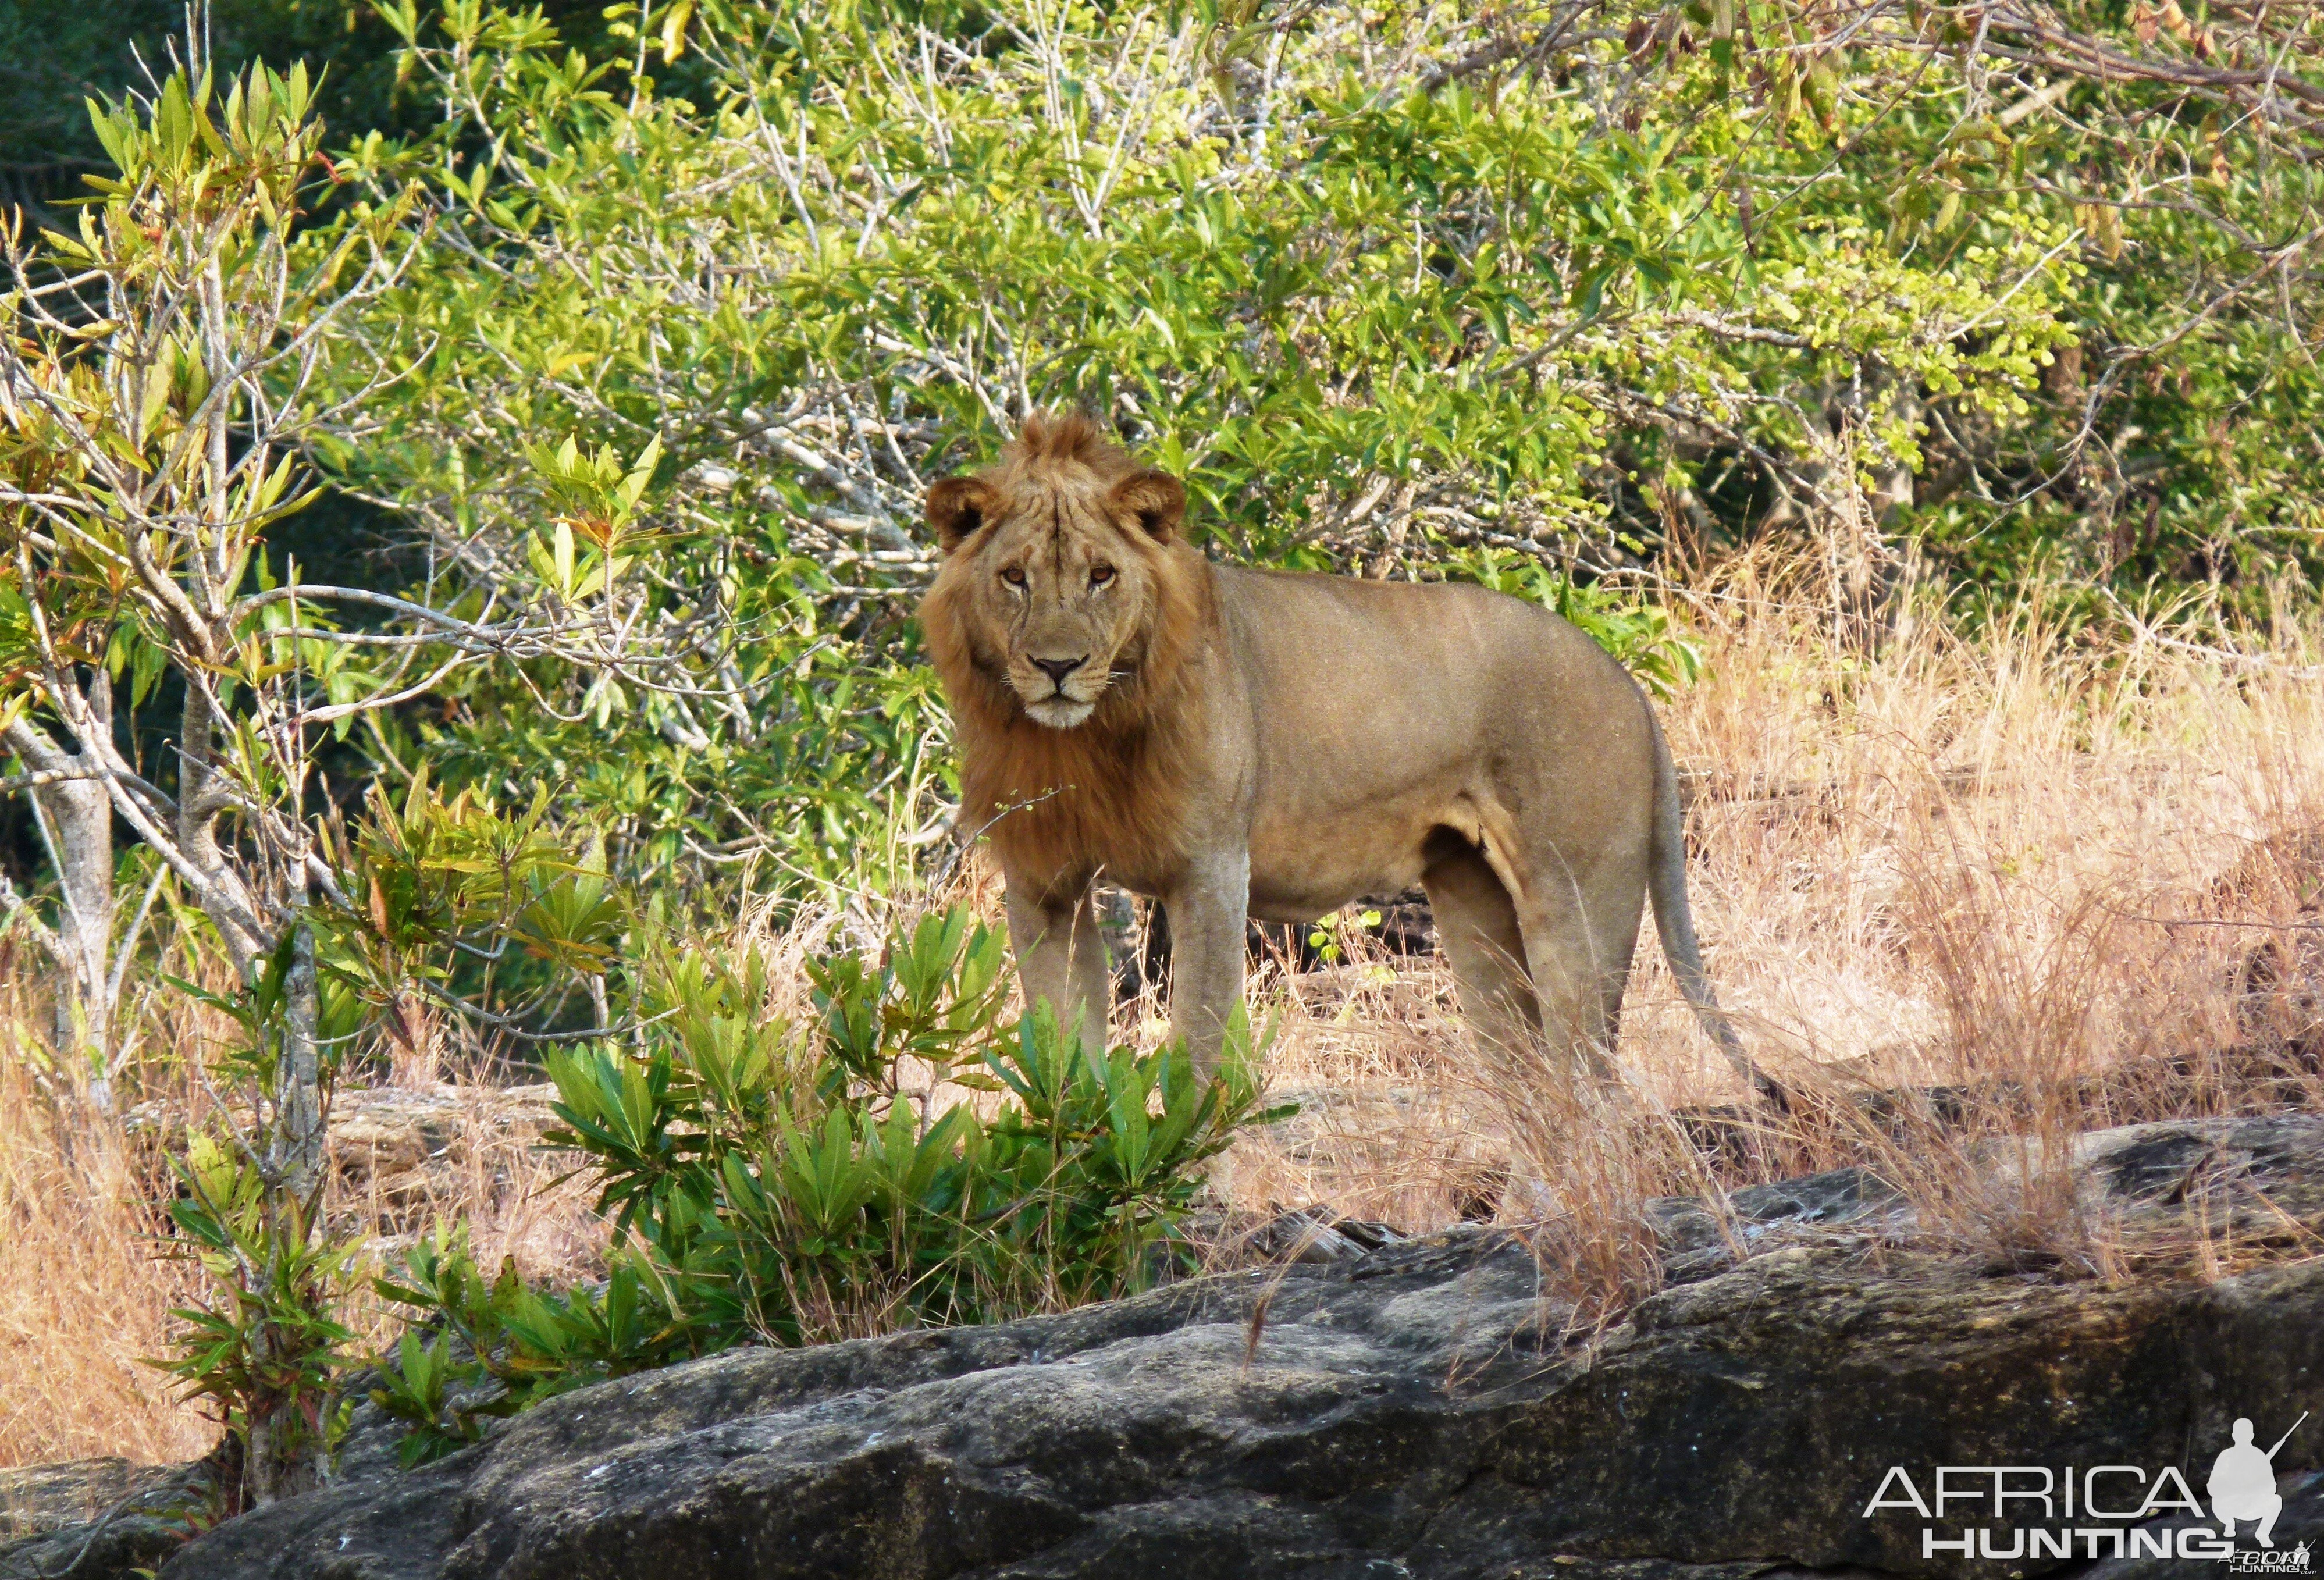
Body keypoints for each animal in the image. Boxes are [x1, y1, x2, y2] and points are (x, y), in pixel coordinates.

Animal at [920, 413, 1757, 1092]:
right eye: (1013, 578)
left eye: (1101, 575)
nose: (1057, 667)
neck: (1081, 742)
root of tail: (1627, 682)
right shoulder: (1041, 881)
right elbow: (1060, 1053)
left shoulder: (1209, 869)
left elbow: (1199, 1044)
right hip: (1473, 901)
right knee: (1529, 1083)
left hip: (1579, 901)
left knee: (1592, 1086)